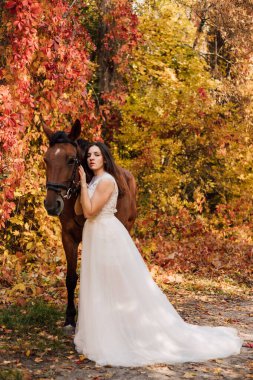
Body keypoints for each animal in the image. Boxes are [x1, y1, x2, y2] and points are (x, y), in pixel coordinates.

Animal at [42, 119, 136, 330]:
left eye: (71, 160)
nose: (51, 205)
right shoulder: (68, 237)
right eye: (46, 160)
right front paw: (70, 318)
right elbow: (71, 278)